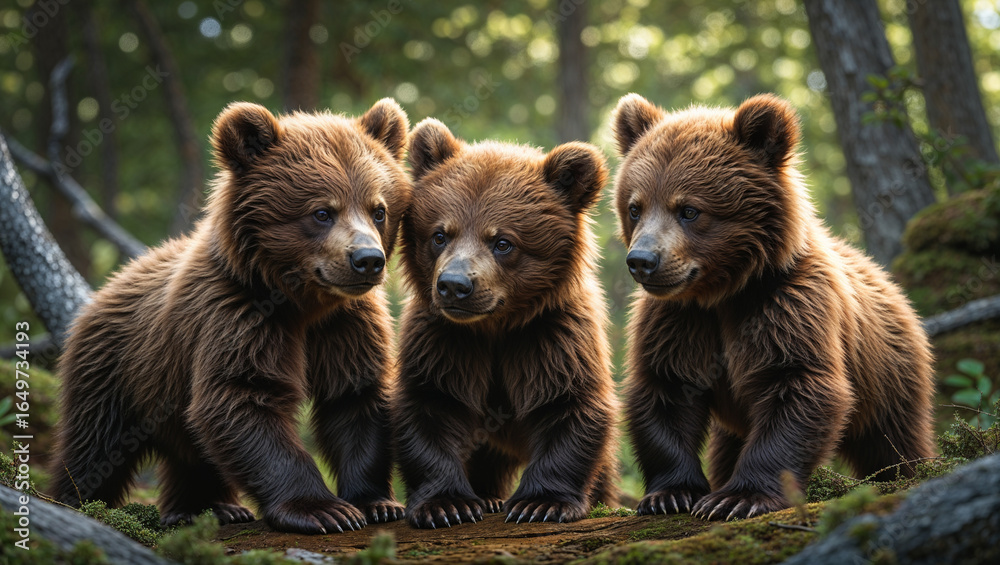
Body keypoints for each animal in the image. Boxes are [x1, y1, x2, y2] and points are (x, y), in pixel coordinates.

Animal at [48, 99, 411, 534]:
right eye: (322, 211)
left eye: (379, 209)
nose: (367, 260)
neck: (302, 303)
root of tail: (107, 286)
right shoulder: (235, 314)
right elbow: (240, 397)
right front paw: (323, 510)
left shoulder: (345, 325)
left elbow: (355, 397)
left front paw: (376, 502)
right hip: (115, 371)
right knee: (95, 445)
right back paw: (75, 501)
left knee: (189, 451)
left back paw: (208, 508)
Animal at [392, 118, 620, 528]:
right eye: (439, 234)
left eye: (502, 242)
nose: (454, 285)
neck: (495, 326)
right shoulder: (443, 340)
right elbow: (428, 405)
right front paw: (446, 505)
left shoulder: (550, 337)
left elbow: (570, 405)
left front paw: (540, 503)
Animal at [610, 93, 936, 521]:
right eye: (636, 206)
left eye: (689, 210)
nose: (642, 260)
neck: (722, 292)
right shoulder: (679, 321)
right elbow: (663, 389)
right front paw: (671, 494)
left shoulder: (787, 306)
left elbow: (796, 384)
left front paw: (737, 498)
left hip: (888, 374)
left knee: (893, 439)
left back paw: (908, 471)